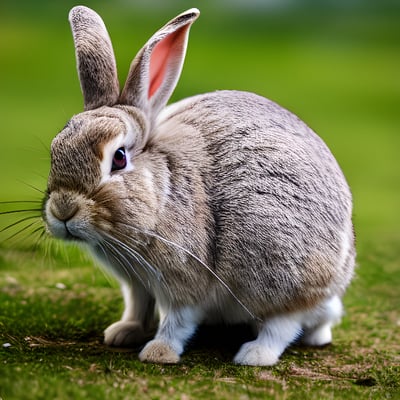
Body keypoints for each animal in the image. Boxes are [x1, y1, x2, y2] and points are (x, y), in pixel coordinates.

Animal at [43, 5, 354, 366]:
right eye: (55, 148)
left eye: (118, 158)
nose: (63, 209)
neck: (162, 195)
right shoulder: (138, 283)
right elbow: (138, 306)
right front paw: (123, 333)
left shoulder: (186, 279)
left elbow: (177, 321)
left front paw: (159, 353)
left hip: (278, 269)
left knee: (284, 323)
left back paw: (254, 354)